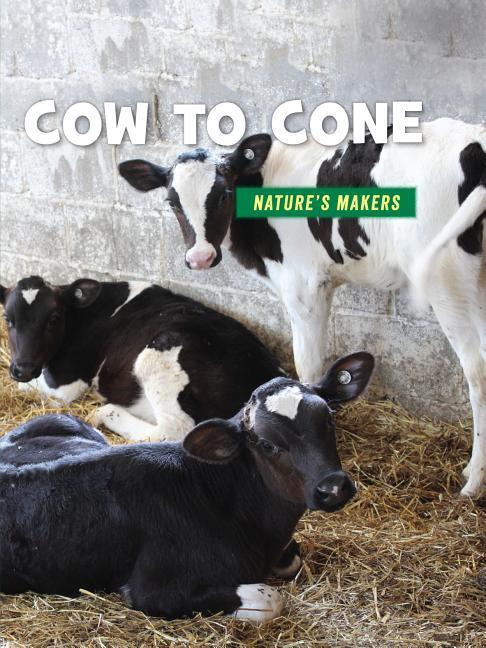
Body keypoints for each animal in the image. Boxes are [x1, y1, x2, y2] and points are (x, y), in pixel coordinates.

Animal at [0, 276, 286, 442]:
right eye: (7, 319)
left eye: (54, 319)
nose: (22, 368)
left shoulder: (67, 382)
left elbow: (32, 389)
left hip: (160, 352)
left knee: (174, 431)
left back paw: (105, 413)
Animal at [0, 352, 374, 621]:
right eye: (267, 444)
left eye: (328, 418)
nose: (333, 487)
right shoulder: (152, 590)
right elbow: (270, 599)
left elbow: (292, 560)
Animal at [118, 117, 486, 498]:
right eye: (172, 202)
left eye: (224, 194)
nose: (200, 257)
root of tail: (474, 140)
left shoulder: (303, 285)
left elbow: (308, 366)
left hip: (447, 273)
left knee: (477, 369)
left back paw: (473, 481)